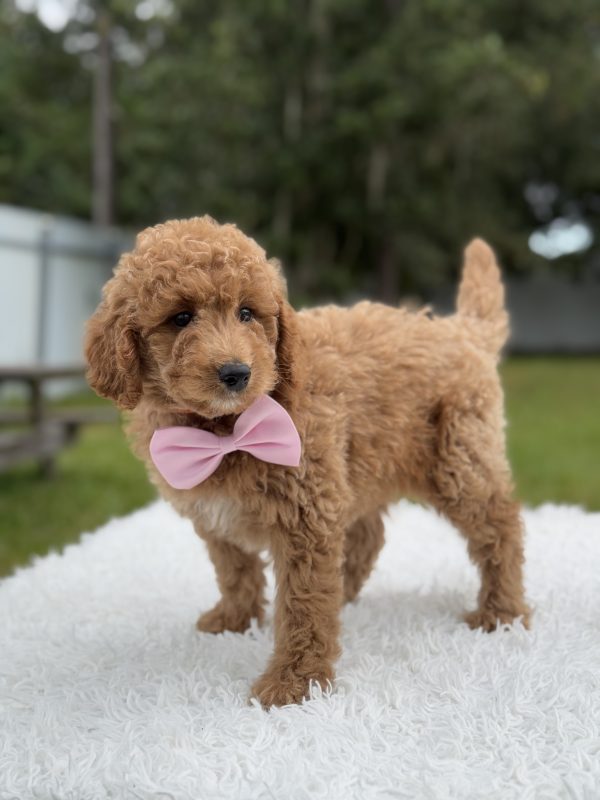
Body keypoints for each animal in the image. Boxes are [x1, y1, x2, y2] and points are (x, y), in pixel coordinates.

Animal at [85, 216, 530, 708]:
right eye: (181, 317)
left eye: (247, 313)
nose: (236, 373)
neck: (224, 431)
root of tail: (462, 331)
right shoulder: (218, 515)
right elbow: (235, 571)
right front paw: (235, 620)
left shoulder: (306, 514)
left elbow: (303, 603)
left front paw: (294, 685)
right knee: (369, 535)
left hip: (459, 458)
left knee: (500, 526)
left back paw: (502, 612)